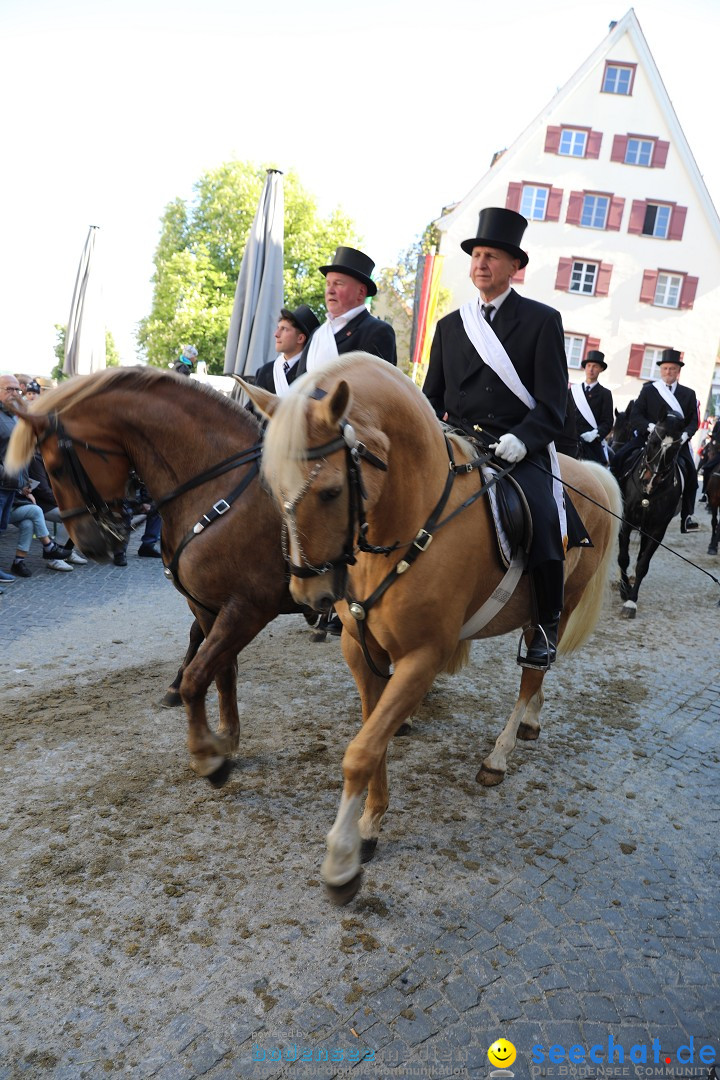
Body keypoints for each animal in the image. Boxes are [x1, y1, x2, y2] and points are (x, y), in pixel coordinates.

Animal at [5, 371, 295, 786]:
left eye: (56, 466)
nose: (88, 545)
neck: (221, 488)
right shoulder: (208, 605)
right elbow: (221, 670)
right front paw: (225, 737)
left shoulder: (248, 607)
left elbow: (199, 675)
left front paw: (207, 754)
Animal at [243, 354, 626, 902]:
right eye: (273, 490)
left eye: (332, 491)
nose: (309, 597)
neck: (406, 521)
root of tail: (590, 472)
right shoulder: (361, 651)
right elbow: (373, 739)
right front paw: (369, 826)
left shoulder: (422, 658)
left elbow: (360, 751)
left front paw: (341, 859)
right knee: (540, 676)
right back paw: (531, 721)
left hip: (558, 604)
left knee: (534, 669)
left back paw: (500, 755)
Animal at [613, 410, 686, 622]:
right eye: (652, 440)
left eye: (675, 448)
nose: (649, 481)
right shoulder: (626, 522)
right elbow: (623, 558)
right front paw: (624, 590)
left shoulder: (656, 530)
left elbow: (642, 564)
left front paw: (631, 601)